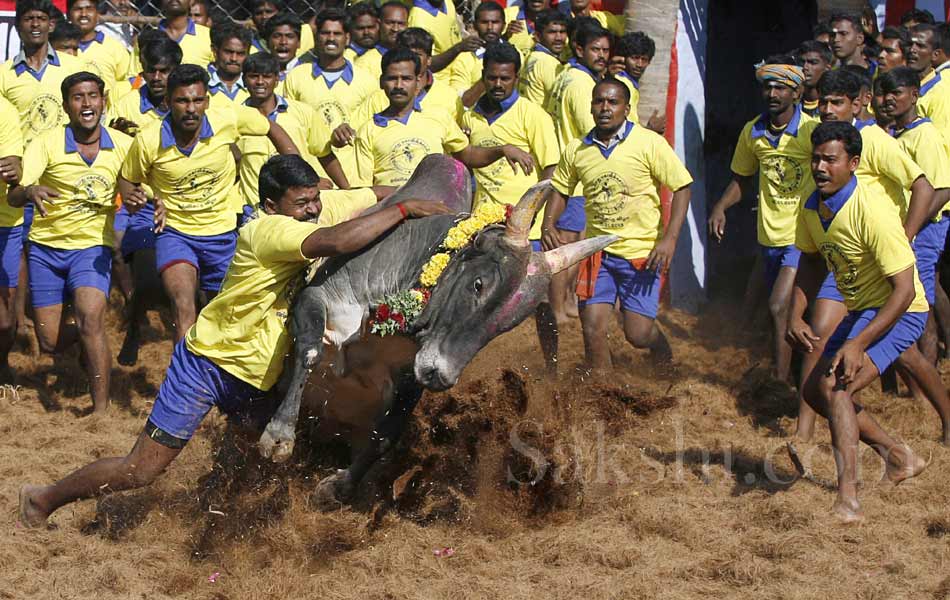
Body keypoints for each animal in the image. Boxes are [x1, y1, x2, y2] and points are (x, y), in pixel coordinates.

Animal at [258, 157, 616, 508]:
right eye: (478, 284)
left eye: (509, 323)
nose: (440, 374)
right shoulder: (317, 297)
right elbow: (310, 352)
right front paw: (278, 435)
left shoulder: (409, 374)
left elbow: (386, 434)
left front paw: (337, 488)